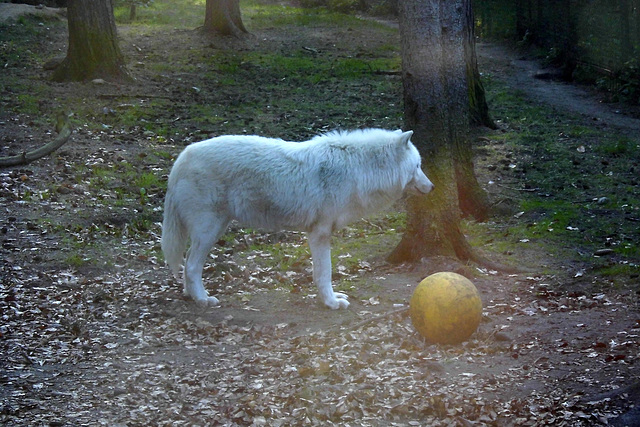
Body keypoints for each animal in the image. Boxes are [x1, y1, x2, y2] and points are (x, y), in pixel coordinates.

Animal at [162, 129, 438, 310]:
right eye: (417, 166)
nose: (433, 187)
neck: (357, 171)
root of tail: (181, 158)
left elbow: (320, 273)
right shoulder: (320, 233)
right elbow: (324, 273)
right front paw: (331, 303)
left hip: (215, 228)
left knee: (187, 265)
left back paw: (190, 294)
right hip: (210, 230)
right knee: (191, 266)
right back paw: (202, 299)